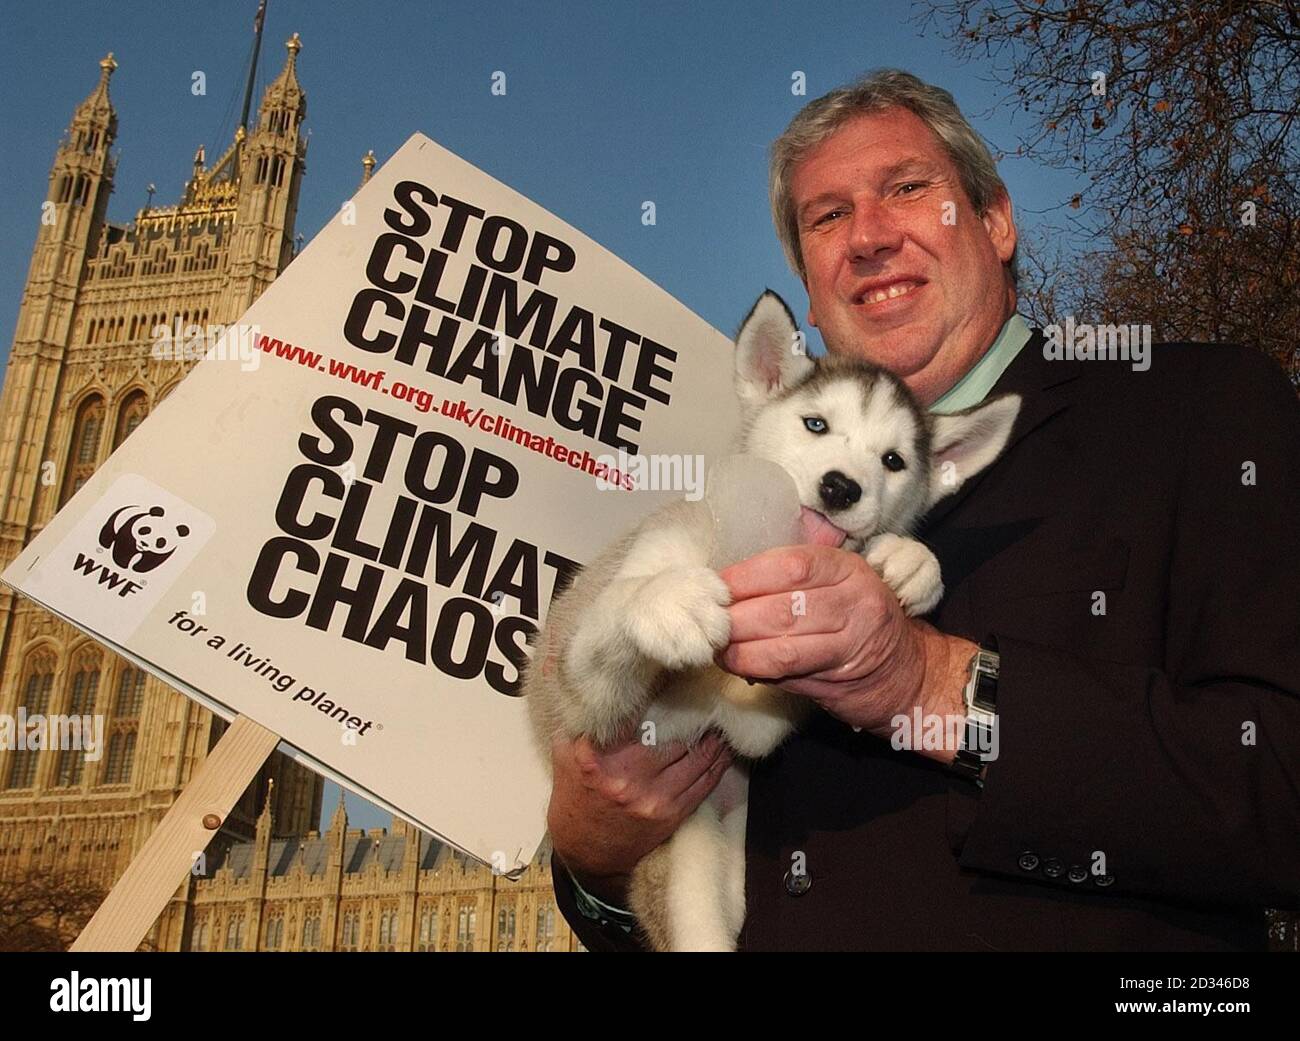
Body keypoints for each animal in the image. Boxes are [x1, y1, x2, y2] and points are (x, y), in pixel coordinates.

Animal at [522, 288, 1019, 946]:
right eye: (816, 424)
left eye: (892, 460)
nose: (841, 488)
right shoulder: (593, 703)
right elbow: (607, 630)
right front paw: (663, 602)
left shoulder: (751, 725)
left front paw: (910, 563)